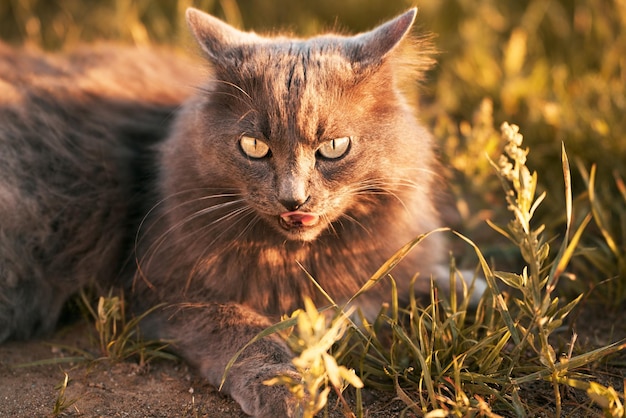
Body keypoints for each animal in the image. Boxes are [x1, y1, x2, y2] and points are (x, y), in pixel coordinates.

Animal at [0, 7, 482, 418]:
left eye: (334, 147)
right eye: (253, 146)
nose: (293, 199)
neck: (297, 259)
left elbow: (425, 279)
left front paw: (475, 286)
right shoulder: (166, 291)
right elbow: (245, 332)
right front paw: (287, 388)